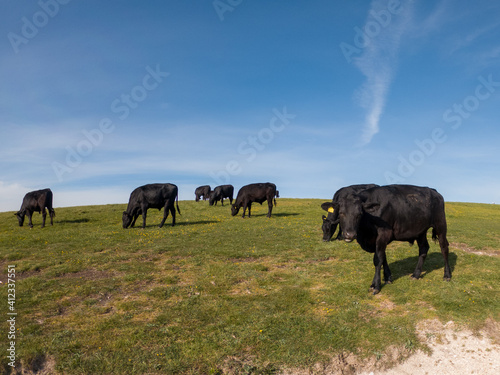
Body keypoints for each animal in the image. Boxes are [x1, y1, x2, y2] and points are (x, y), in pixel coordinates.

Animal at [320, 184, 454, 294]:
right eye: (341, 213)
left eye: (359, 214)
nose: (350, 234)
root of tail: (434, 191)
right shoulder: (377, 240)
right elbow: (382, 257)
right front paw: (388, 277)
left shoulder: (383, 234)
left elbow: (377, 259)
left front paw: (375, 285)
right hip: (420, 230)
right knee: (423, 248)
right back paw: (416, 274)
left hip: (440, 224)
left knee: (444, 248)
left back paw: (447, 275)